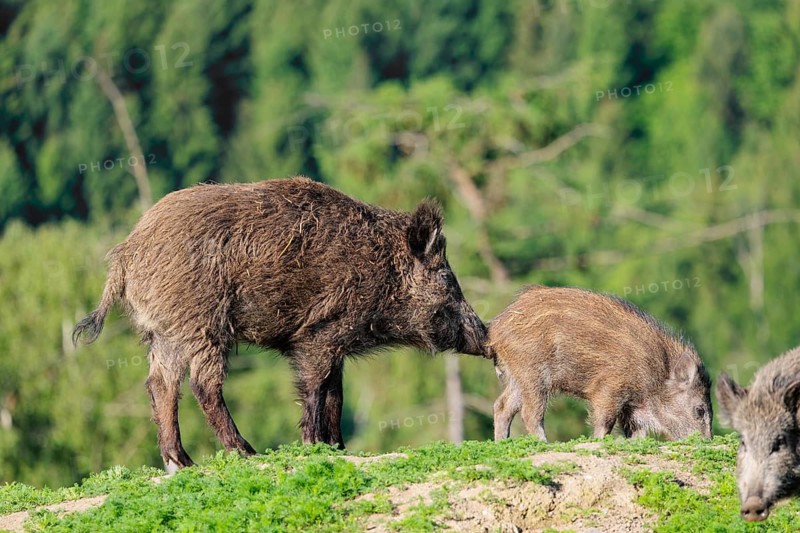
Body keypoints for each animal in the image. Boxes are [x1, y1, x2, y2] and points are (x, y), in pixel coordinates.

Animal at [73, 177, 486, 472]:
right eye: (447, 278)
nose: (484, 335)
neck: (382, 270)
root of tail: (127, 252)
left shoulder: (335, 343)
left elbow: (336, 394)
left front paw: (338, 447)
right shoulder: (319, 335)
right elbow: (315, 390)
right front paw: (314, 446)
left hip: (166, 331)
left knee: (160, 385)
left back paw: (184, 463)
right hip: (202, 324)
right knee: (202, 385)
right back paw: (248, 453)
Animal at [489, 285, 712, 441]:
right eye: (699, 410)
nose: (707, 441)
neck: (657, 373)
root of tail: (495, 328)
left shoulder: (633, 410)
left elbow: (637, 434)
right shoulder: (609, 390)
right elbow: (605, 423)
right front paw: (596, 441)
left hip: (519, 376)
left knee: (502, 406)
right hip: (533, 374)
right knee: (530, 414)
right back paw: (545, 443)